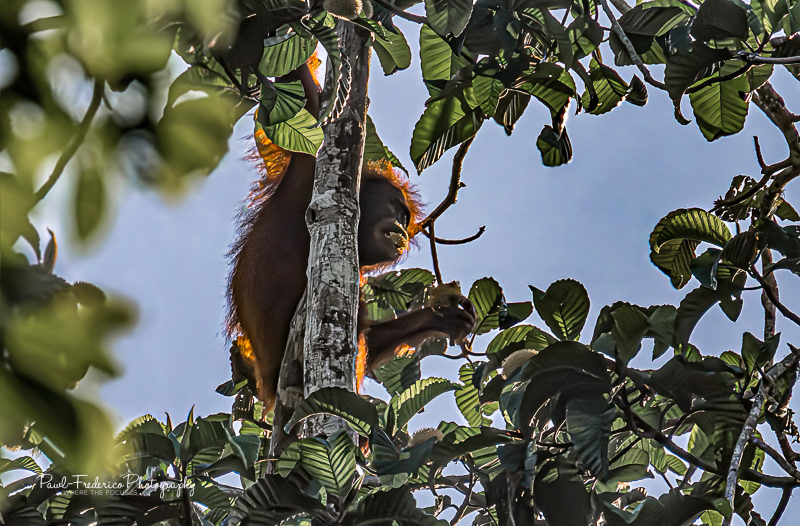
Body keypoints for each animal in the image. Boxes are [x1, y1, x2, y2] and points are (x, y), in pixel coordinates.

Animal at [226, 58, 476, 412]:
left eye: (405, 218)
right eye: (399, 211)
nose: (402, 227)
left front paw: (441, 318)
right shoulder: (311, 167)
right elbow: (301, 93)